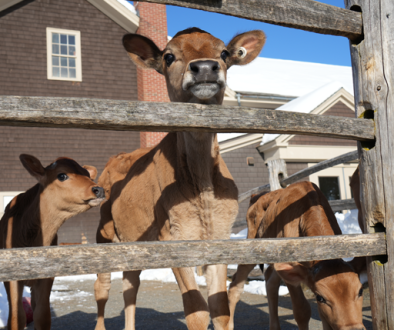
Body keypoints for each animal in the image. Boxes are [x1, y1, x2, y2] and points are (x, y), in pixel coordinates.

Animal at [0, 155, 104, 330]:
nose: (99, 190)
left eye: (87, 175)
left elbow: (42, 315)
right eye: (62, 175)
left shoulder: (47, 275)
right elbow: (16, 317)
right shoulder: (11, 277)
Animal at [93, 27, 264, 330]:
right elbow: (196, 311)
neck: (204, 187)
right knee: (102, 289)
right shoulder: (173, 237)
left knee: (130, 287)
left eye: (223, 53)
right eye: (169, 56)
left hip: (134, 241)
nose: (205, 67)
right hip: (104, 234)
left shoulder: (220, 237)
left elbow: (221, 309)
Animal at [228, 182, 366, 330]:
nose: (354, 328)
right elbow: (302, 311)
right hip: (251, 248)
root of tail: (256, 195)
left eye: (360, 291)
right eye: (320, 298)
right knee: (235, 285)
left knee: (270, 279)